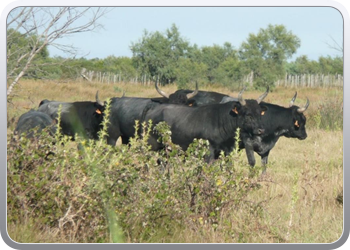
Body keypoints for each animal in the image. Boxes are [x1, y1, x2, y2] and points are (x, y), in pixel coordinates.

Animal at [140, 87, 268, 163]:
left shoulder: (225, 153)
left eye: (259, 113)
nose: (261, 130)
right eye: (248, 114)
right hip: (151, 146)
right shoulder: (208, 154)